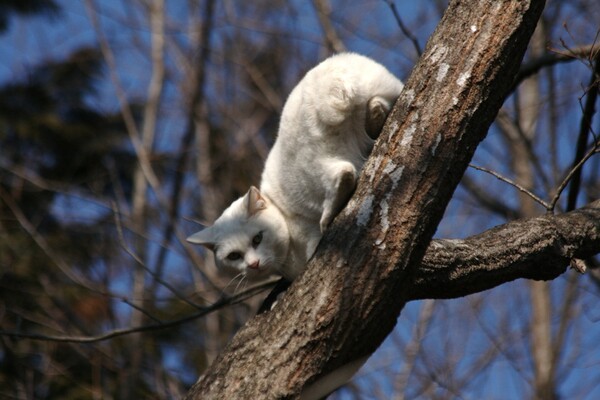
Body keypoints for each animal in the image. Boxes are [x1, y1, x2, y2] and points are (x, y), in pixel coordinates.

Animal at [188, 53, 404, 282]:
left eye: (257, 239)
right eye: (234, 256)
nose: (253, 264)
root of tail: (336, 81)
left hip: (309, 168)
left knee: (342, 173)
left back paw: (328, 217)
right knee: (377, 108)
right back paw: (376, 115)